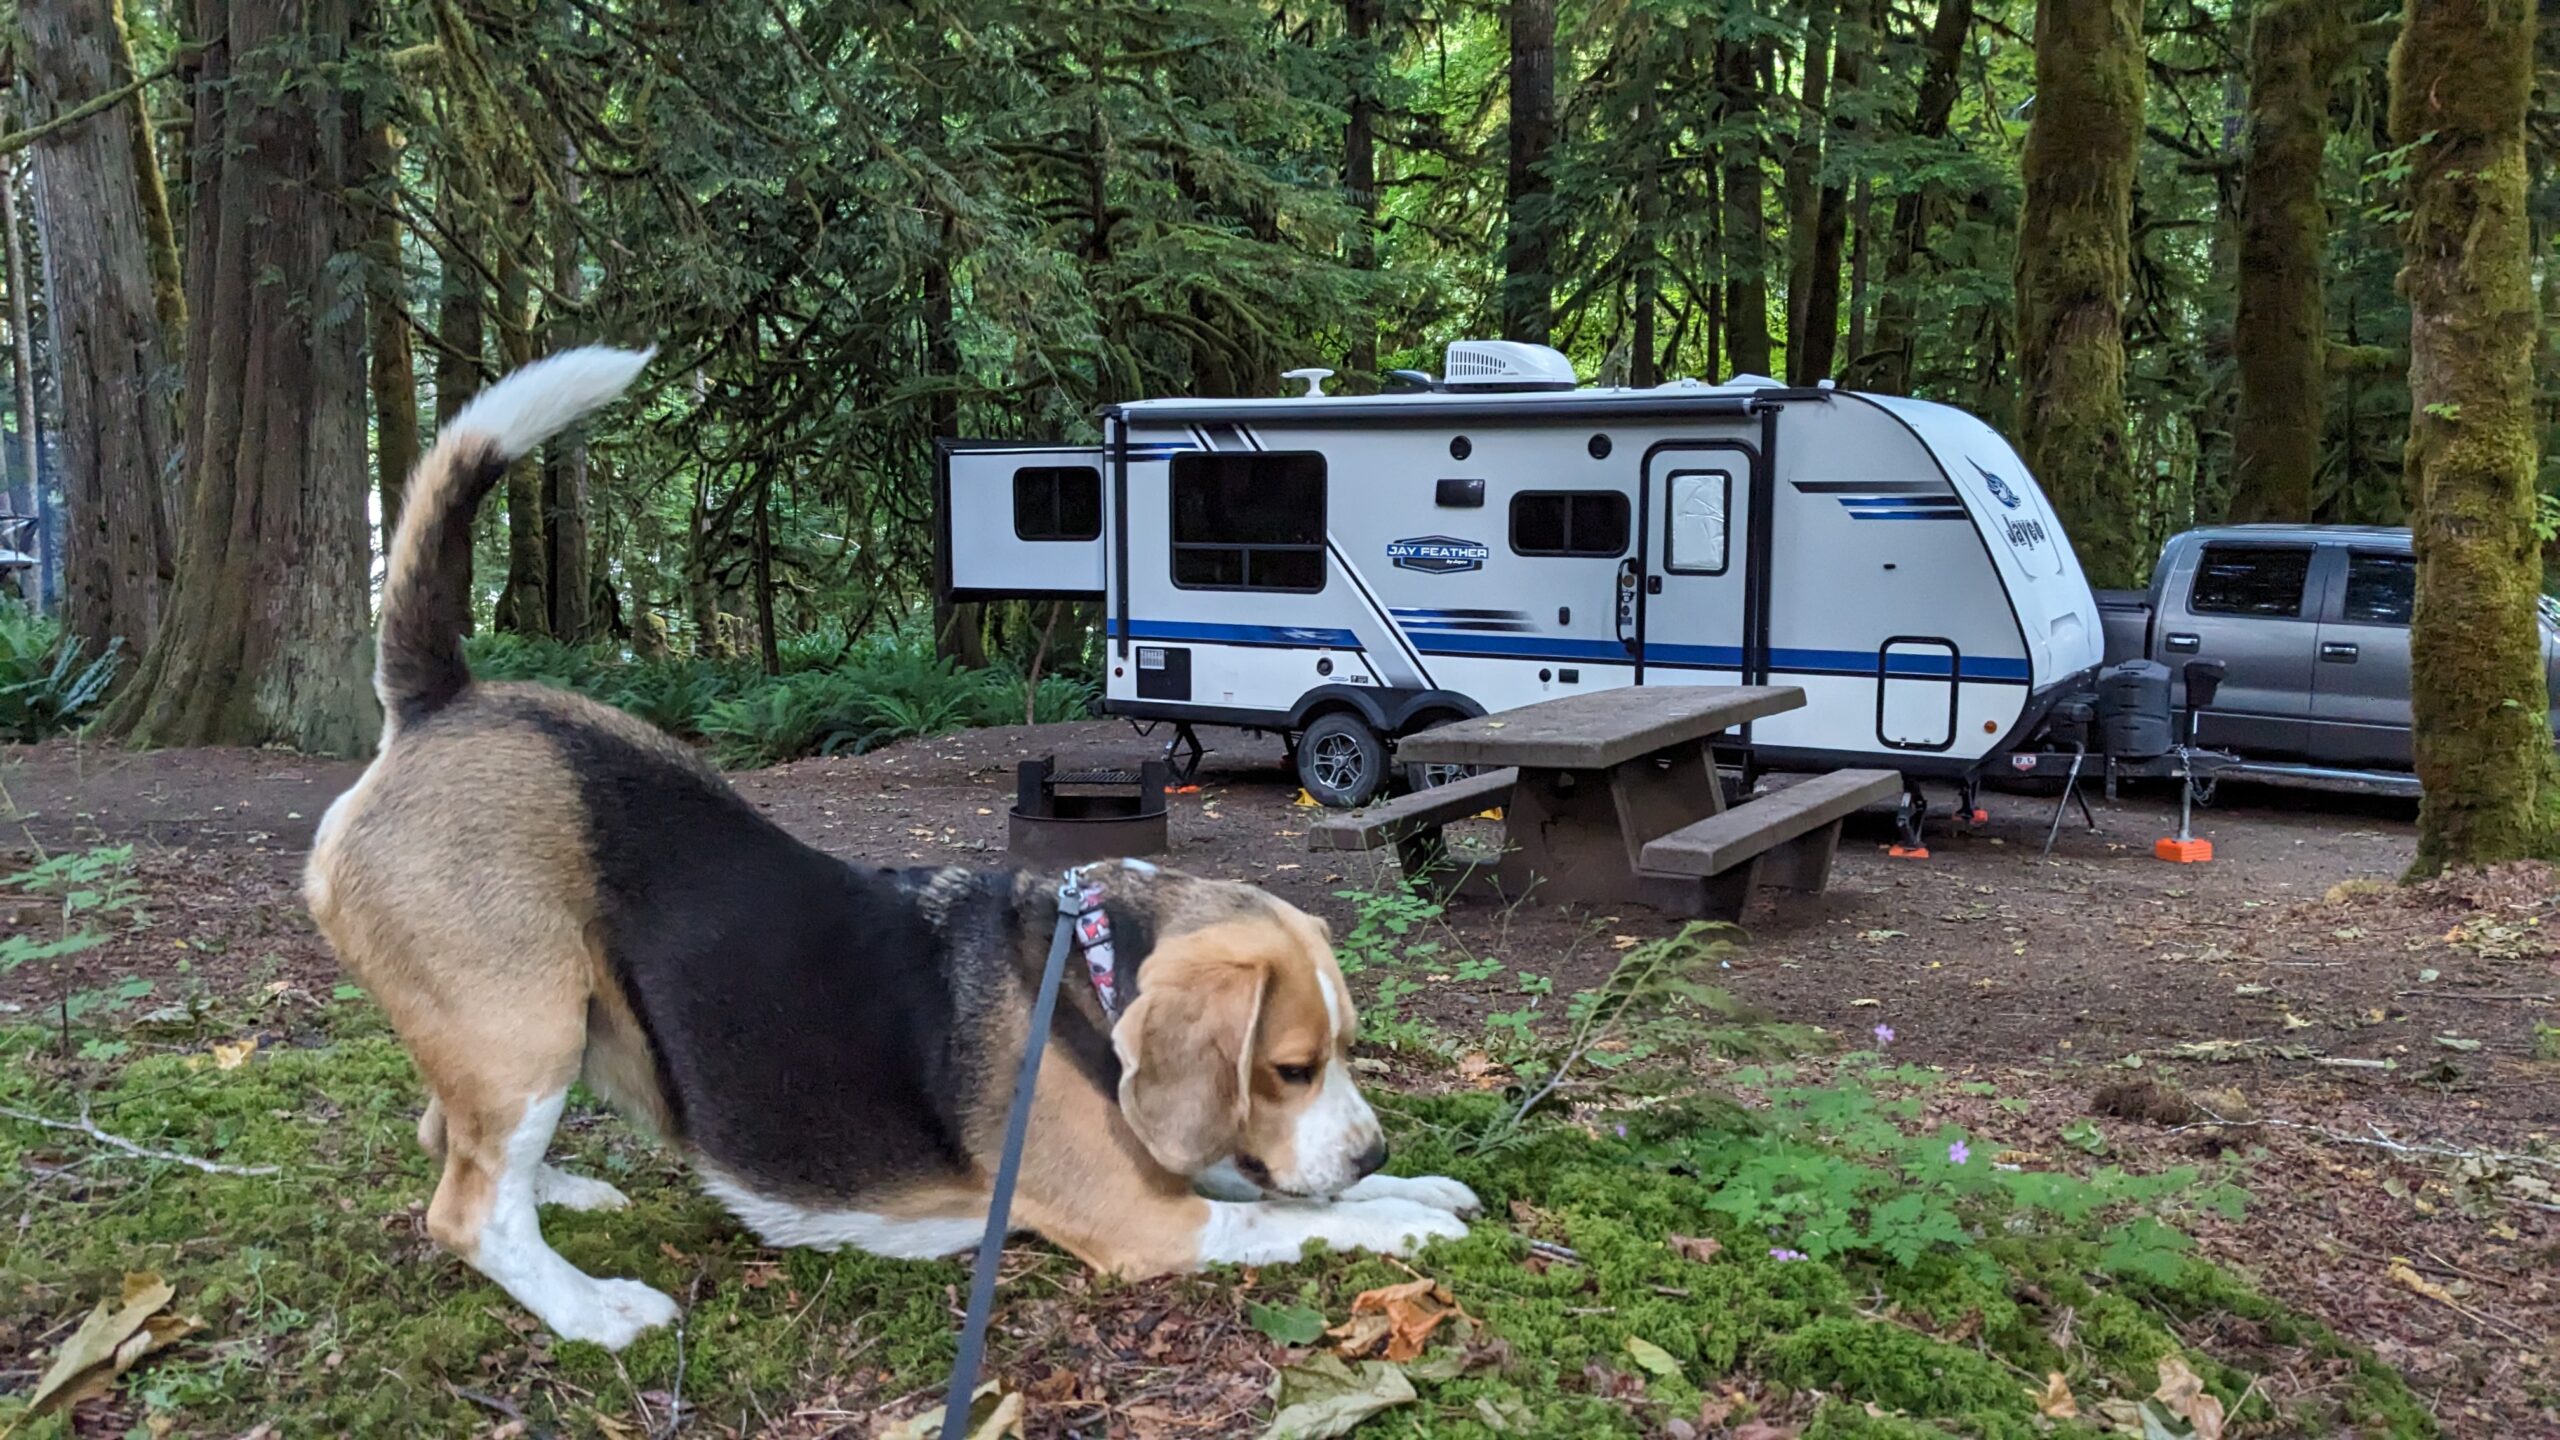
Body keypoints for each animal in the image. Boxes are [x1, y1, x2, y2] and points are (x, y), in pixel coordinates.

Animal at [304, 348, 1484, 1342]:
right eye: (1289, 1068)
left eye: (1340, 1054)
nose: (1374, 1149)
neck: (1085, 969)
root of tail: (443, 701)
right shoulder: (1148, 1220)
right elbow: (1289, 1217)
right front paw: (1401, 1221)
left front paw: (1413, 1185)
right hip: (524, 1024)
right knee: (468, 1212)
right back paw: (594, 1309)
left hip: (544, 1024)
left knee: (449, 1142)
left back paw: (565, 1193)